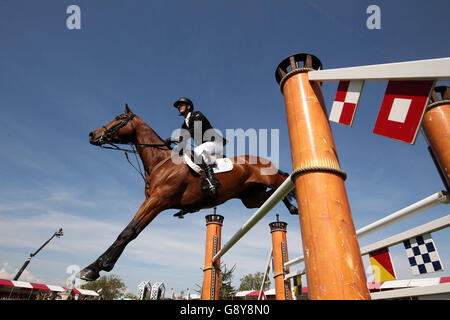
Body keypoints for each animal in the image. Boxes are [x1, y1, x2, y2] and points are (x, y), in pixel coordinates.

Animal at [77, 104, 298, 280]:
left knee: (283, 179)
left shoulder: (157, 201)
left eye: (120, 118)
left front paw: (95, 268)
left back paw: (295, 204)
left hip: (268, 180)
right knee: (272, 195)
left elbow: (129, 231)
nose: (92, 135)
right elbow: (131, 231)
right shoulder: (152, 201)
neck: (160, 161)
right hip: (252, 199)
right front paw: (95, 266)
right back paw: (291, 207)